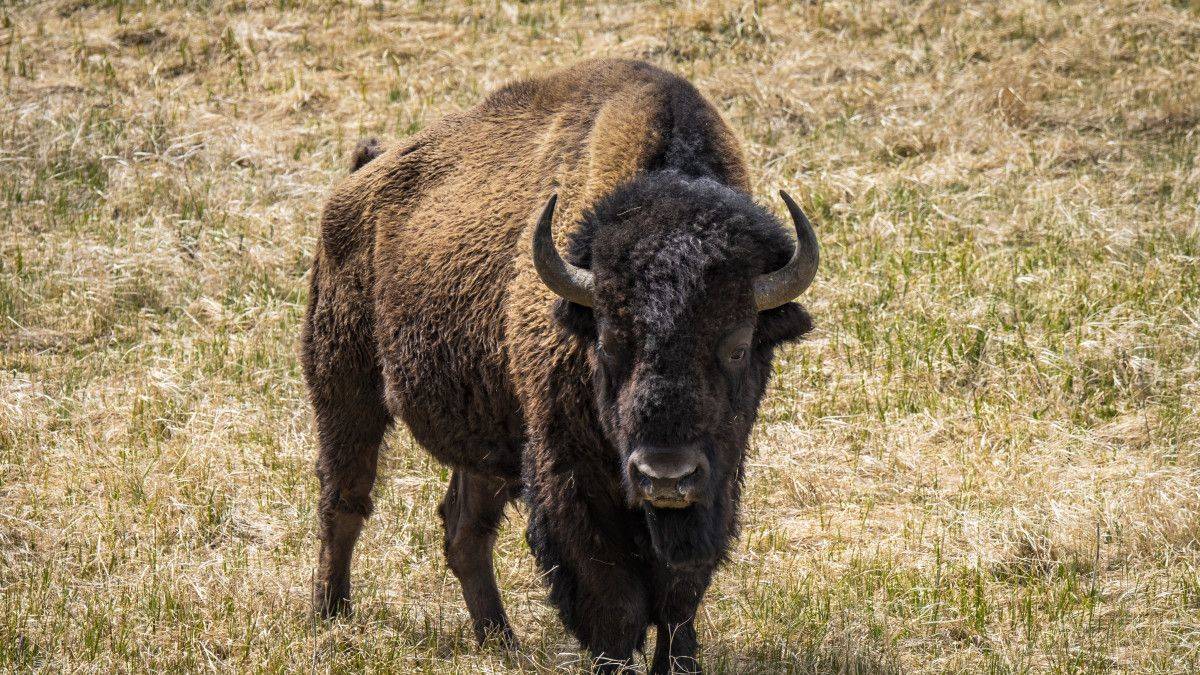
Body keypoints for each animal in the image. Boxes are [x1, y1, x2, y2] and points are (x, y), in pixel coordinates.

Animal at [304, 57, 820, 667]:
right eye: (610, 339)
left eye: (738, 345)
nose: (664, 476)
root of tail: (358, 182)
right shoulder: (569, 474)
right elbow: (612, 599)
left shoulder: (717, 477)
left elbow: (680, 593)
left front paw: (680, 663)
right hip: (345, 384)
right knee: (344, 500)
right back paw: (330, 617)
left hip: (491, 439)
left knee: (463, 530)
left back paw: (501, 640)